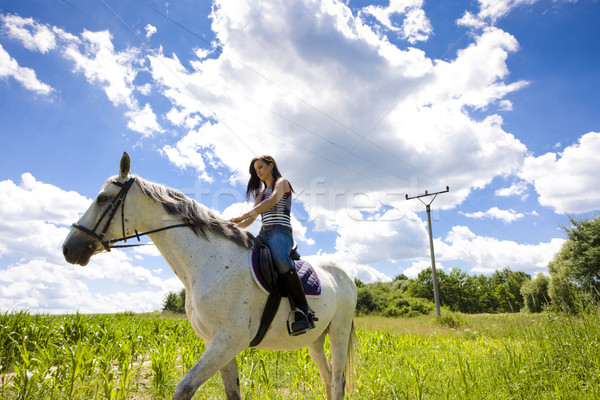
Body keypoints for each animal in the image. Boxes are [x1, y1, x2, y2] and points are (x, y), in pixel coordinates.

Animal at [63, 153, 358, 400]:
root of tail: (345, 275)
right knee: (328, 376)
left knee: (337, 381)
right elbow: (232, 392)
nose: (68, 248)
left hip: (339, 331)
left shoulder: (228, 341)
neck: (212, 264)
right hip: (316, 339)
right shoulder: (216, 343)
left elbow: (184, 388)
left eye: (102, 199)